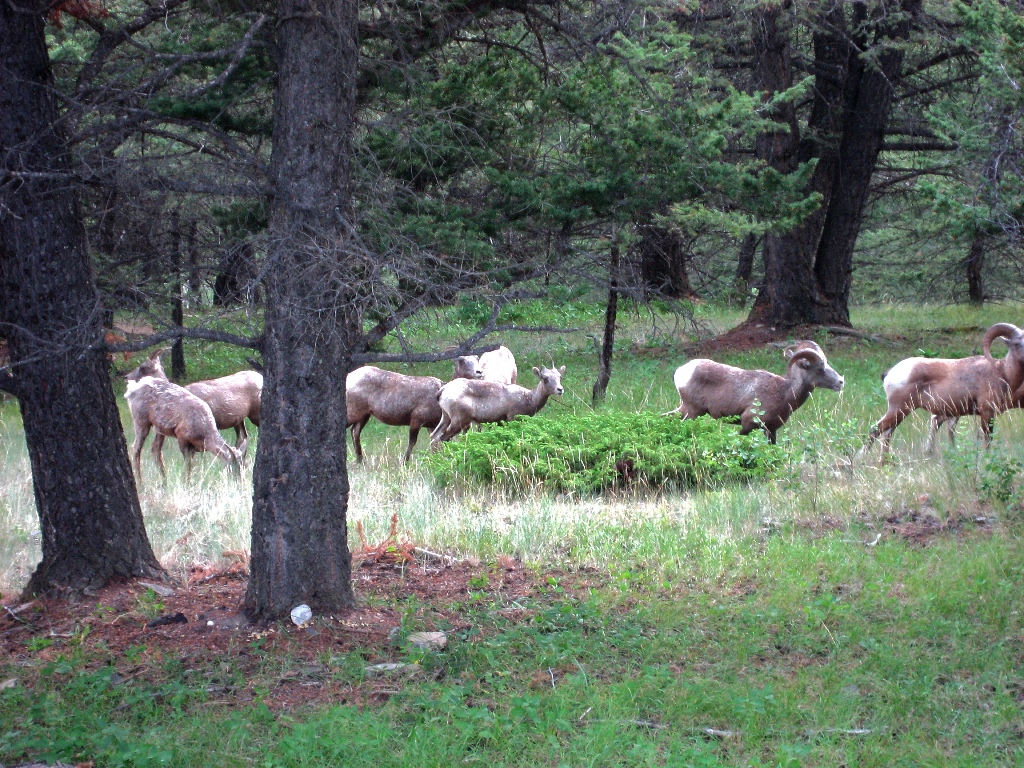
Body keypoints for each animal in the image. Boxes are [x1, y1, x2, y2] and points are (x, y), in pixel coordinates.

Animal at [122, 354, 240, 483]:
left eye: (242, 464)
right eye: (231, 464)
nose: (238, 480)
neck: (204, 434)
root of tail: (131, 390)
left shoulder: (194, 447)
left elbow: (190, 465)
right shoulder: (181, 436)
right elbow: (188, 465)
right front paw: (186, 483)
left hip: (157, 427)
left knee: (154, 449)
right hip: (140, 420)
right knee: (135, 448)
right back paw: (141, 482)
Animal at [428, 364, 565, 448]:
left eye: (559, 377)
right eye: (545, 378)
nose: (560, 389)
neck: (529, 400)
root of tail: (442, 391)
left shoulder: (500, 421)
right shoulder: (512, 418)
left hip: (446, 416)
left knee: (433, 436)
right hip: (459, 420)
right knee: (442, 438)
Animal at [667, 344, 843, 444]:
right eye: (819, 369)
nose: (841, 382)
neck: (784, 392)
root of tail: (681, 371)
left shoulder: (771, 430)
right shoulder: (748, 424)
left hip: (686, 410)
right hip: (693, 412)